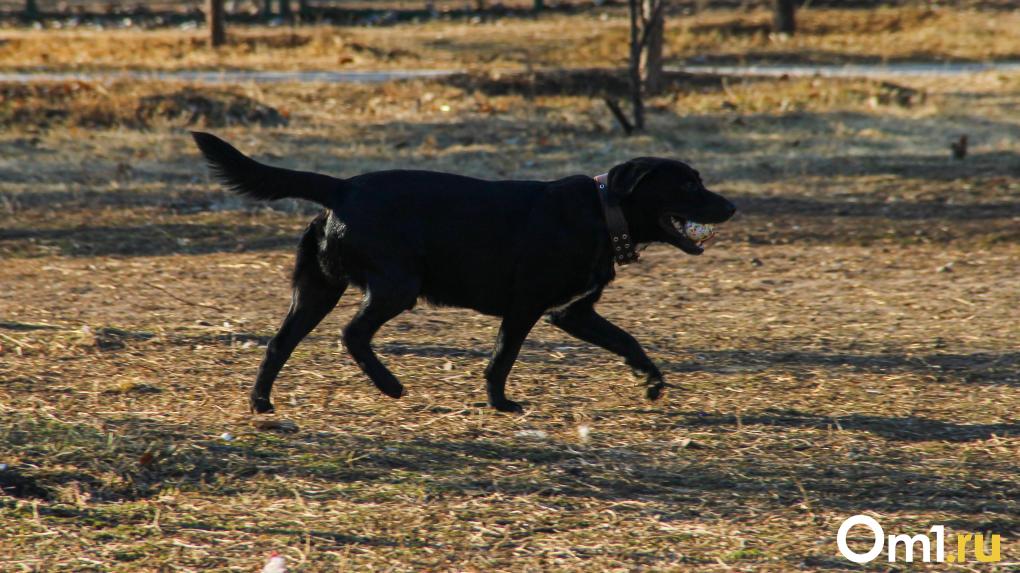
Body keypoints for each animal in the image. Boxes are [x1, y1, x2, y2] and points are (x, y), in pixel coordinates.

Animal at [192, 132, 736, 414]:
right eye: (688, 185)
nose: (731, 206)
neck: (605, 212)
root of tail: (341, 187)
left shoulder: (572, 313)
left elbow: (627, 339)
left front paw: (651, 382)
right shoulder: (527, 307)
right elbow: (502, 358)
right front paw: (501, 403)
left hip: (317, 290)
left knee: (279, 343)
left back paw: (261, 403)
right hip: (398, 286)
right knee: (352, 333)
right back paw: (390, 386)